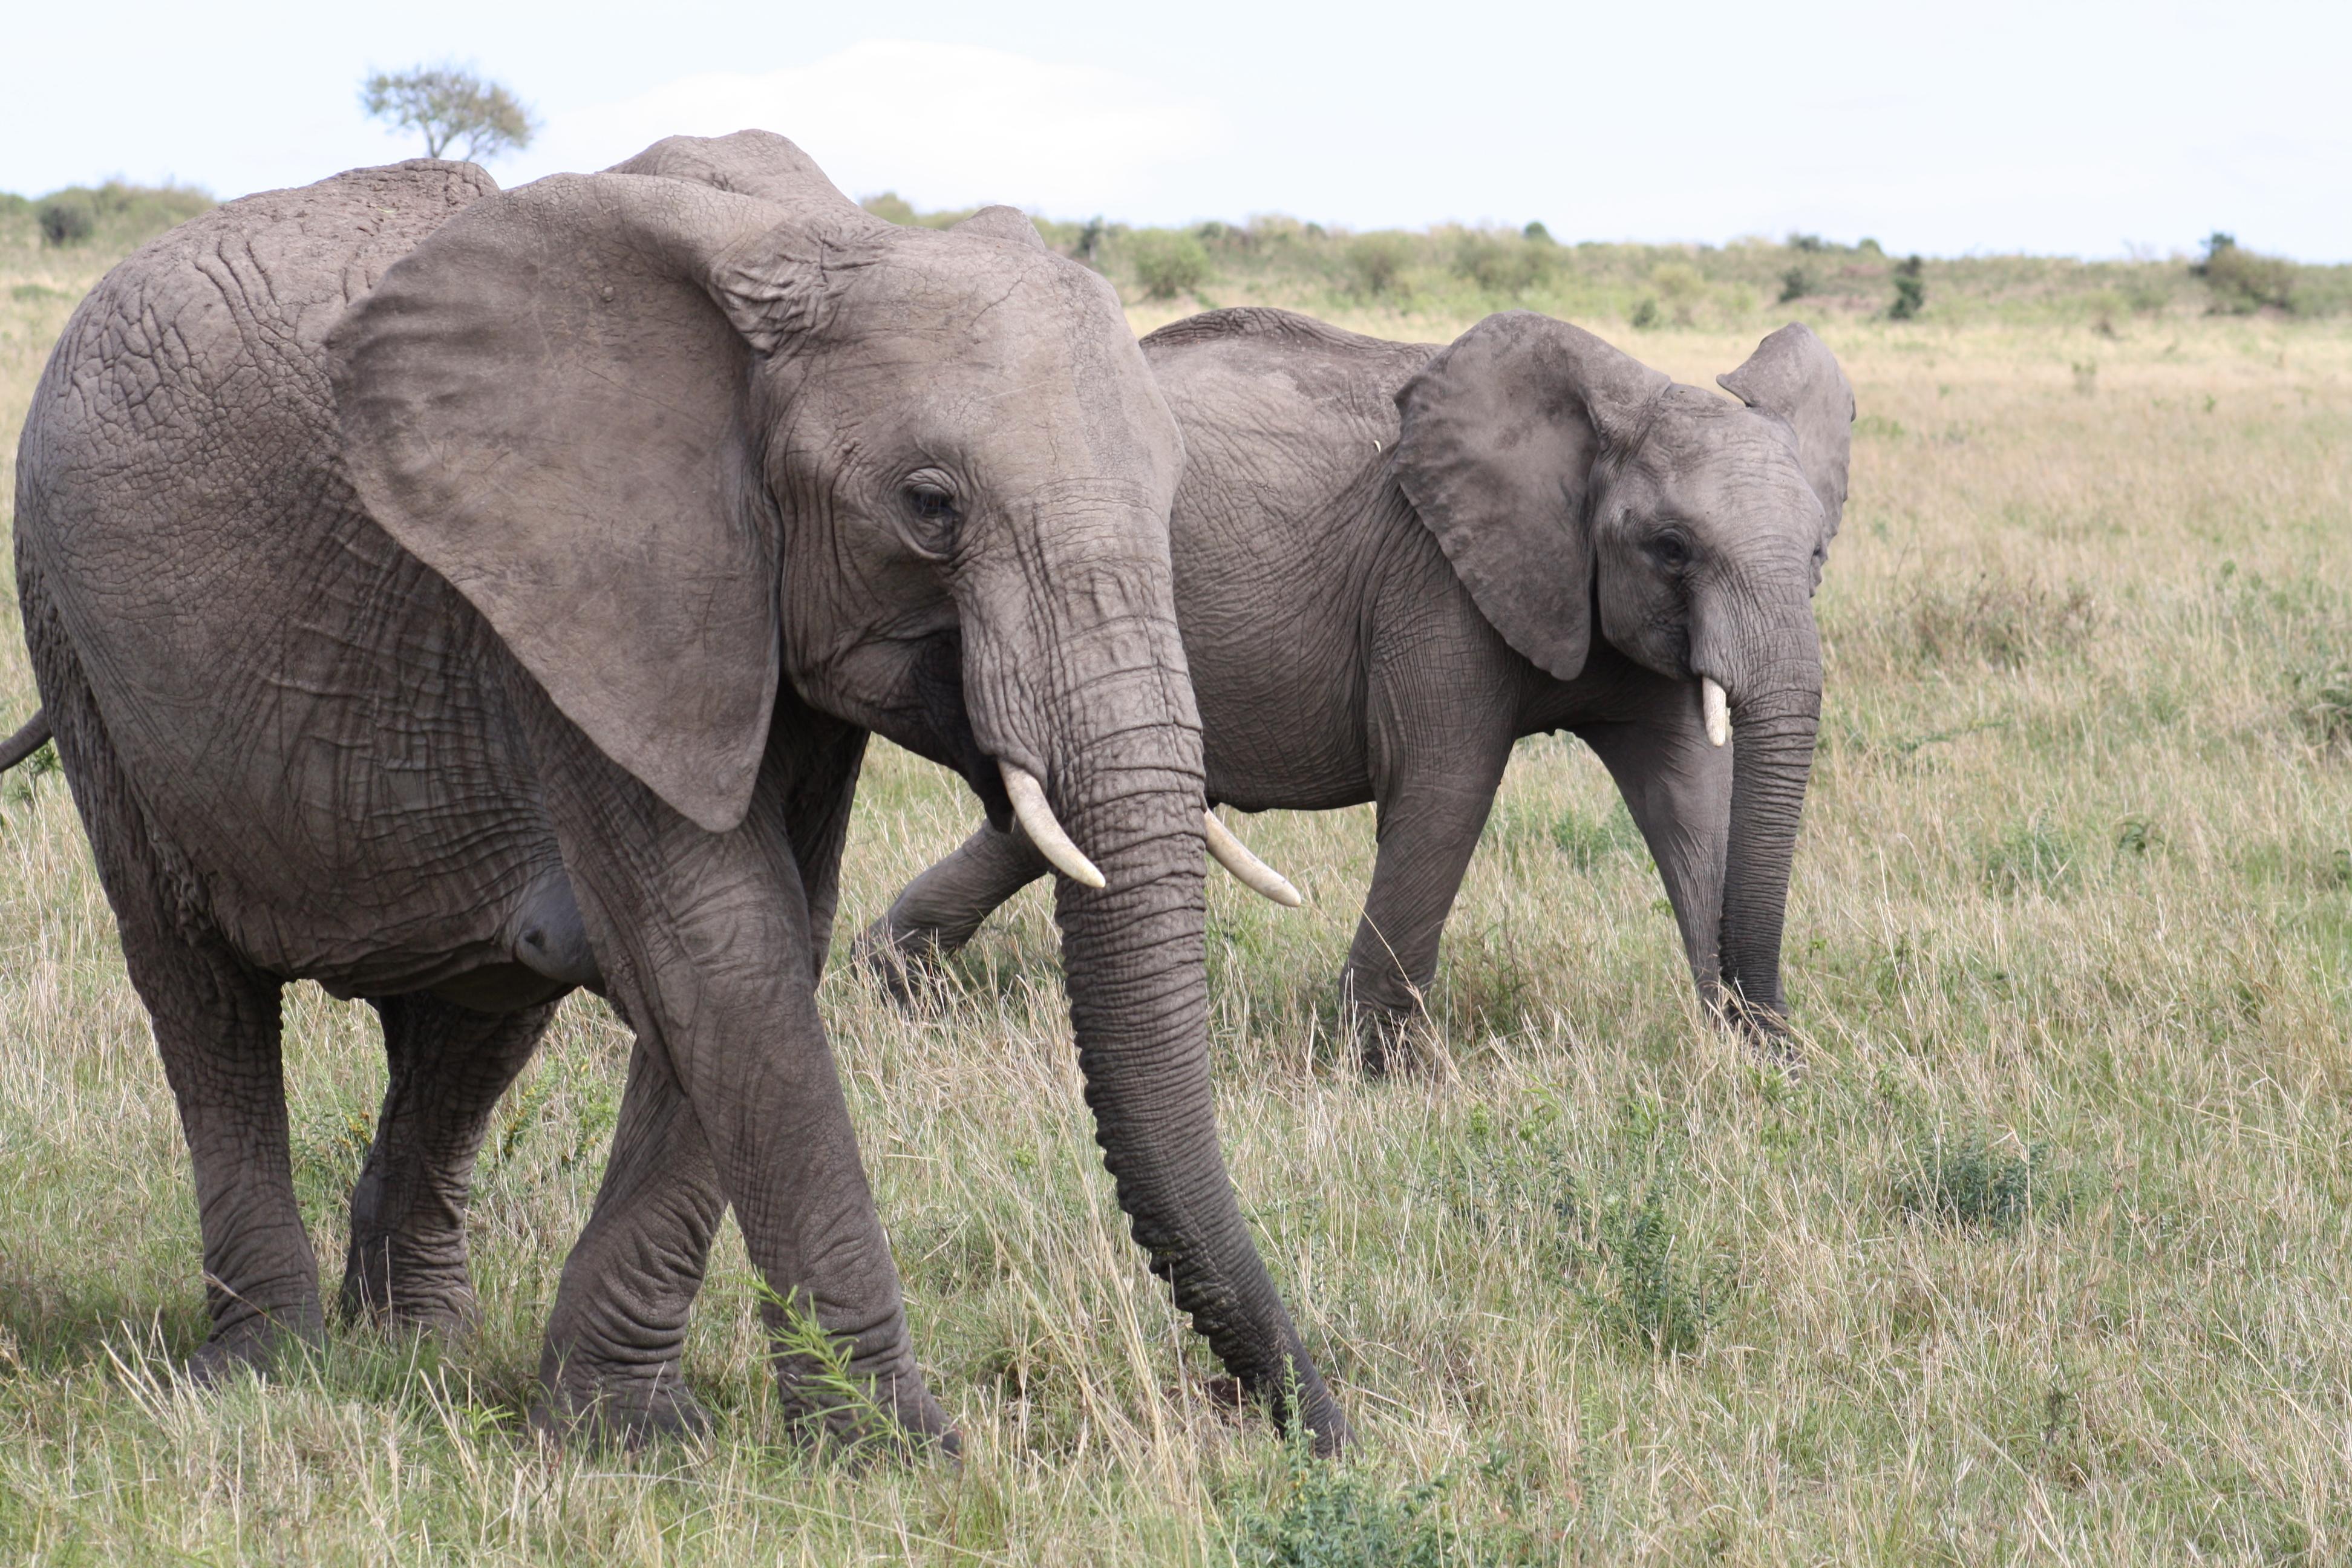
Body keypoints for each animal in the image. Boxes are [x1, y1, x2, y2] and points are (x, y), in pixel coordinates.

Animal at [9, 131, 1354, 1448]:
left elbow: (763, 942)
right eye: (929, 507)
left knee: (478, 1013)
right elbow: (721, 945)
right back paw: (264, 1368)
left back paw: (411, 1349)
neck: (818, 243)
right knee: (201, 992)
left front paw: (622, 1431)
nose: (1308, 1425)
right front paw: (898, 1450)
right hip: (74, 635)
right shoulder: (586, 587)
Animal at [865, 305, 1853, 1067]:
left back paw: (893, 981)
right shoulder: (1435, 575)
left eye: (1818, 552)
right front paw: (1394, 1075)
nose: (1778, 1033)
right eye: (1672, 547)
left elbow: (1690, 797)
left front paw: (1767, 1064)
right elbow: (1445, 784)